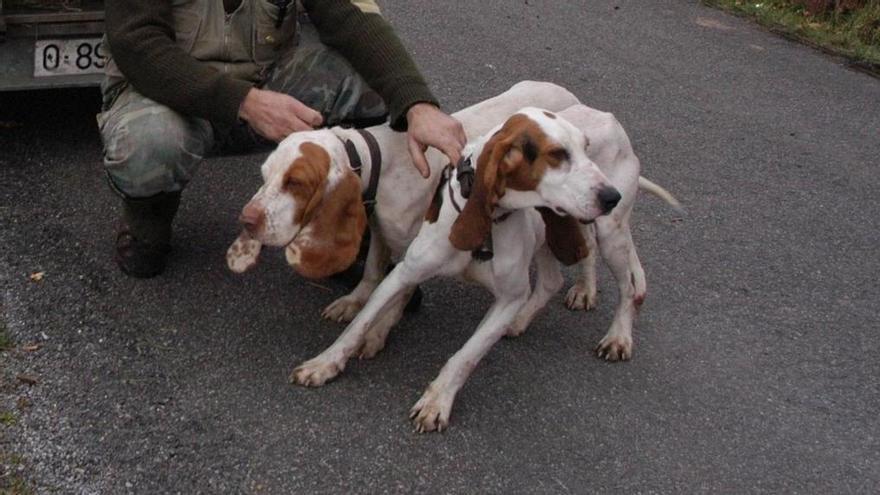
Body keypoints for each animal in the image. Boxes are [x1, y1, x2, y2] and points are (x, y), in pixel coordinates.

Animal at [288, 105, 680, 434]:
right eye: (557, 155)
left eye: (585, 148)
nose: (610, 196)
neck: (487, 223)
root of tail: (608, 118)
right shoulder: (403, 273)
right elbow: (361, 321)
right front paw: (324, 364)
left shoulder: (507, 298)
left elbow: (465, 357)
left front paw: (437, 401)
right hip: (557, 230)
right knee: (556, 276)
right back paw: (545, 309)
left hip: (610, 233)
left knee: (631, 286)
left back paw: (618, 336)